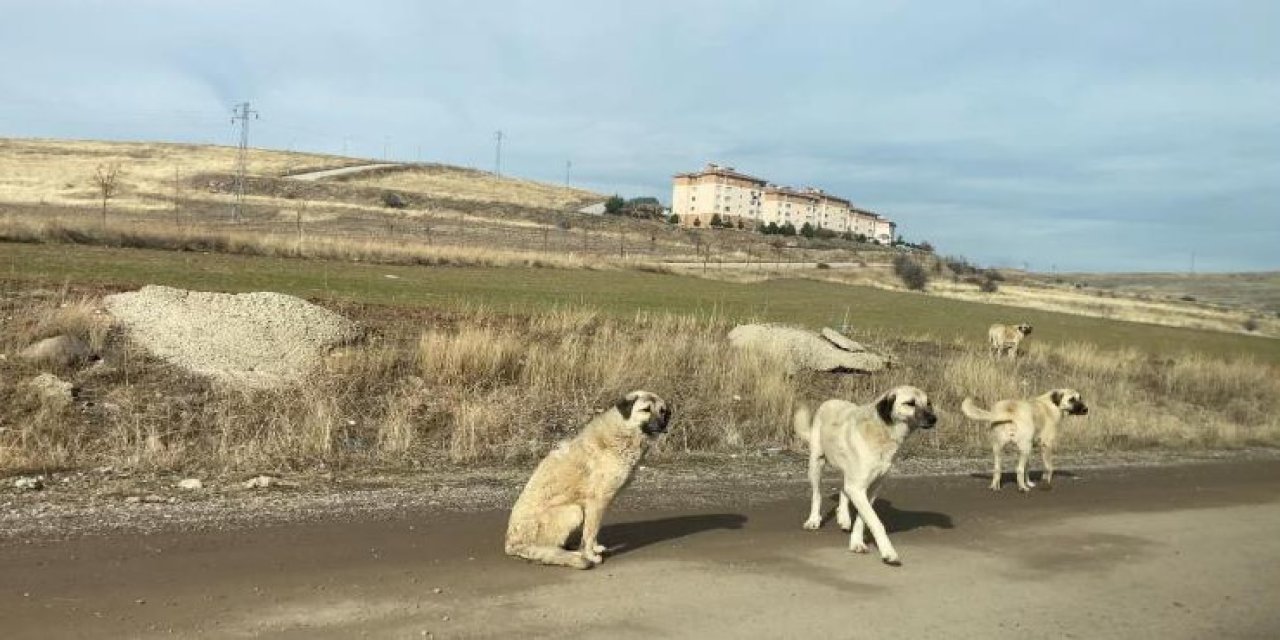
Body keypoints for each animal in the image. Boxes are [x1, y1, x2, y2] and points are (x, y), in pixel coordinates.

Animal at [504, 389, 675, 570]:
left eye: (662, 411)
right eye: (646, 410)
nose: (663, 426)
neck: (623, 431)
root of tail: (510, 544)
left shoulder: (597, 505)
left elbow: (592, 532)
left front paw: (595, 549)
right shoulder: (598, 501)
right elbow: (590, 534)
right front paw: (590, 555)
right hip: (574, 511)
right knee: (546, 549)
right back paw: (574, 555)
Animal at [793, 384, 936, 565]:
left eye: (928, 403)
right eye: (910, 403)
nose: (934, 419)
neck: (882, 432)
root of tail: (829, 401)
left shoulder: (871, 489)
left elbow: (862, 519)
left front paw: (856, 542)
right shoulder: (858, 488)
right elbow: (876, 522)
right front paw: (888, 552)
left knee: (843, 489)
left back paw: (844, 517)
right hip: (816, 463)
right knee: (817, 494)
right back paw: (813, 520)